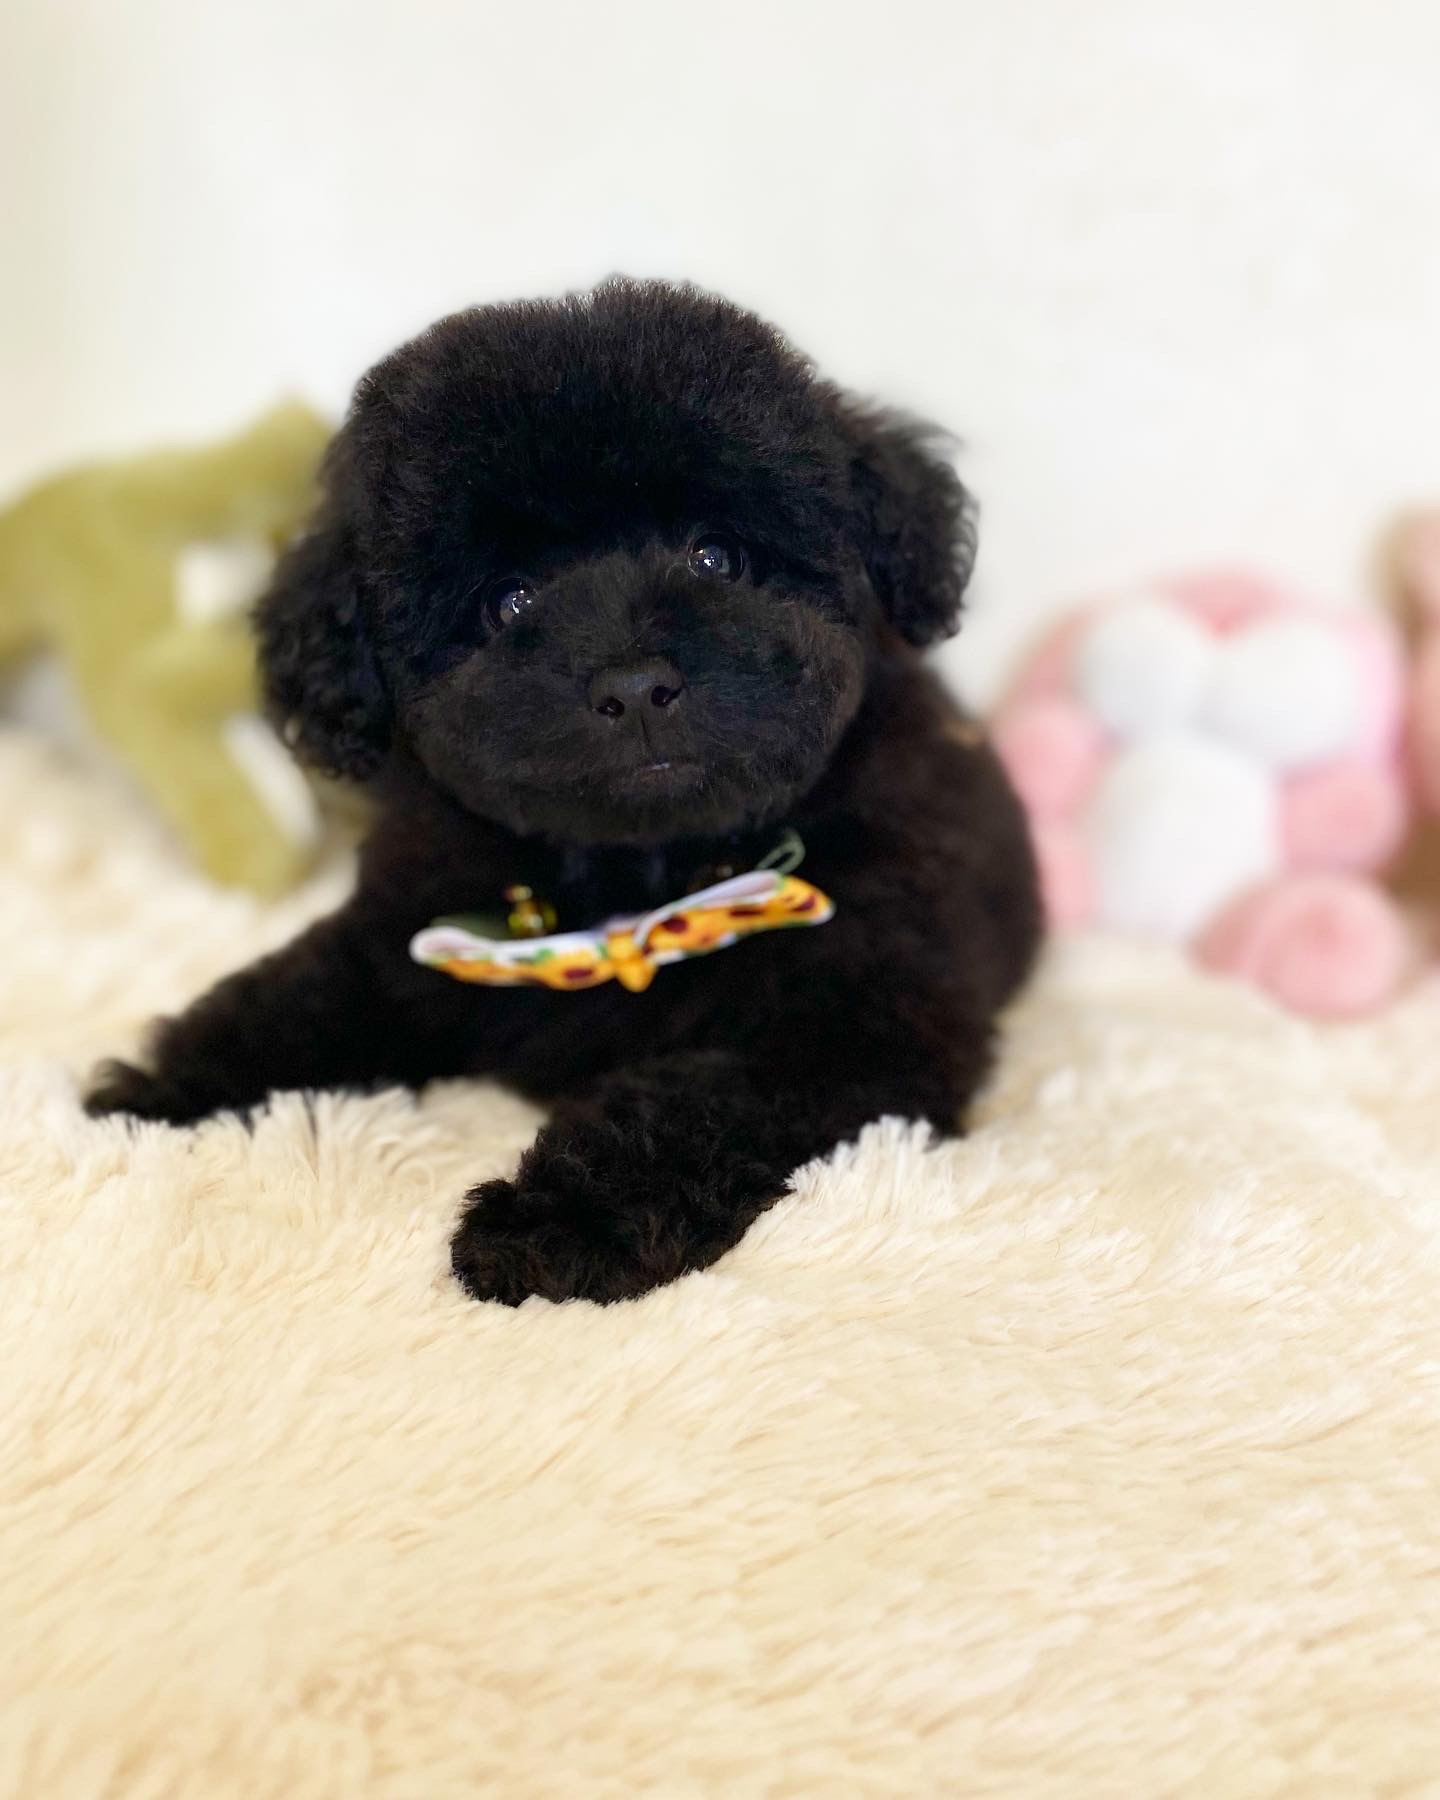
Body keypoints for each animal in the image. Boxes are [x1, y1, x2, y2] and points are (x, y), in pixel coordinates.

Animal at [87, 279, 1041, 1305]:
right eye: (508, 603)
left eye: (716, 558)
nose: (634, 684)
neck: (641, 881)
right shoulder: (406, 930)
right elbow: (296, 998)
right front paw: (153, 1090)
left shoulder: (854, 1020)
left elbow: (692, 1104)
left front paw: (554, 1225)